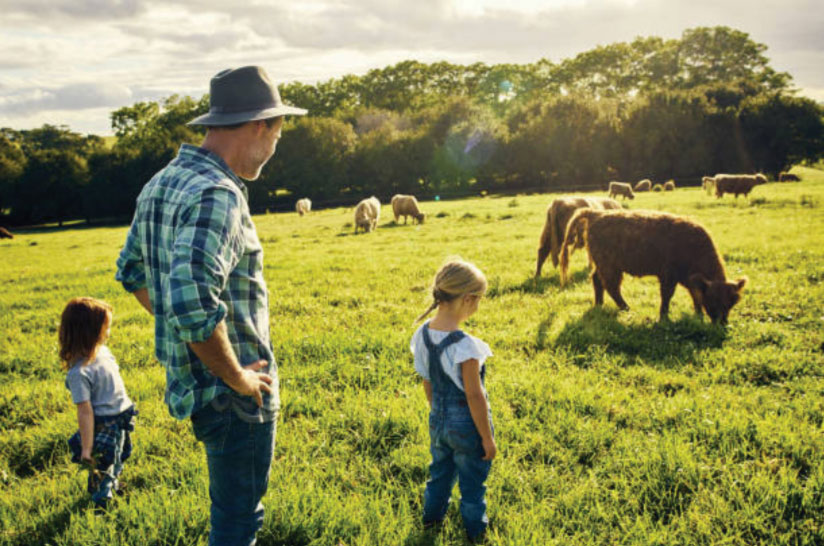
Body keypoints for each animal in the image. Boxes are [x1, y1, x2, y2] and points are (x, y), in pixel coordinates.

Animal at [560, 206, 748, 320]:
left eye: (732, 302)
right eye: (714, 300)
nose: (722, 323)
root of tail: (595, 213)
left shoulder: (687, 278)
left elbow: (695, 295)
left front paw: (698, 315)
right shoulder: (668, 275)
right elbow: (667, 295)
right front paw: (664, 317)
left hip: (604, 264)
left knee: (597, 280)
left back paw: (599, 305)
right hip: (609, 266)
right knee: (611, 286)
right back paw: (627, 309)